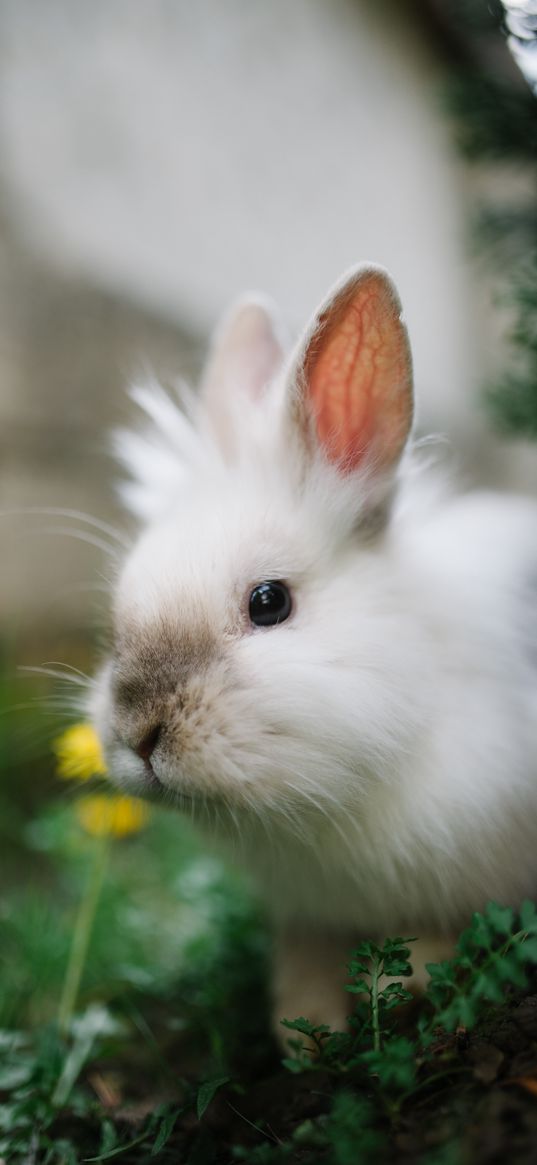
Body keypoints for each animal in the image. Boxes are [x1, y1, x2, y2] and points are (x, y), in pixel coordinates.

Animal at [90, 266, 535, 1039]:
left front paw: (414, 983)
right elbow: (305, 965)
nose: (138, 733)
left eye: (269, 602)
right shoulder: (306, 917)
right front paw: (303, 1033)